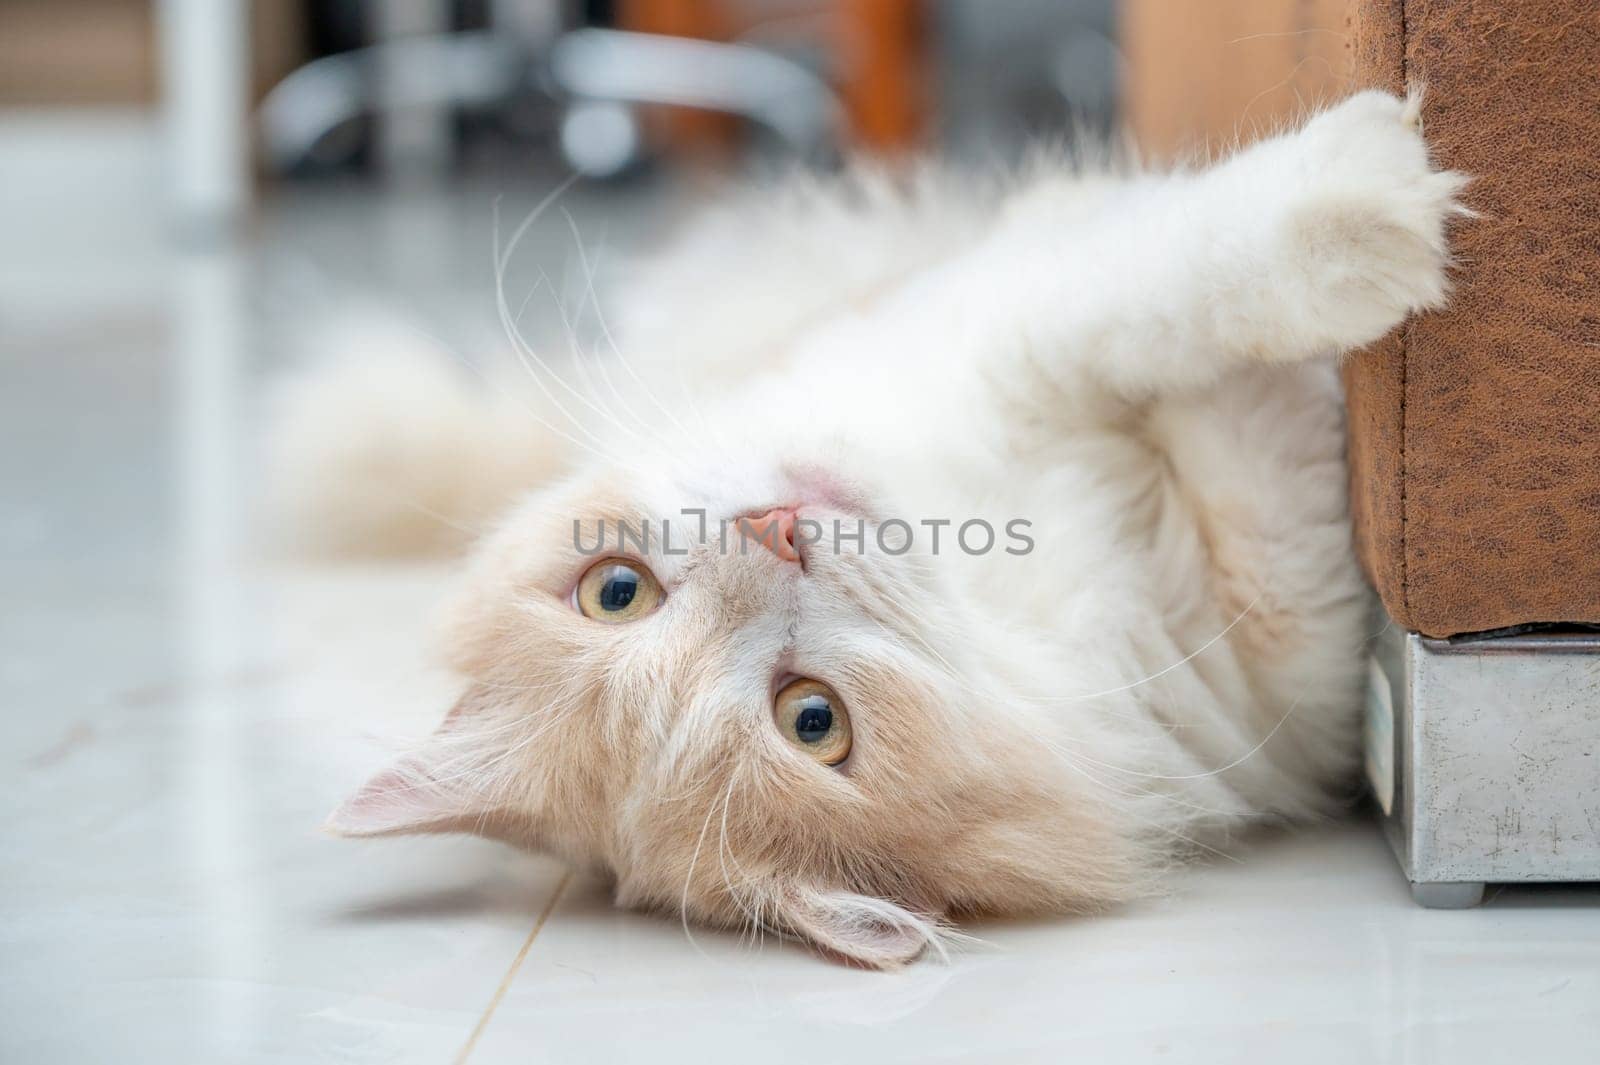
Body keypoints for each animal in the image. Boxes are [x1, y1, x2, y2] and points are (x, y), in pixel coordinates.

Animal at [275, 95, 1465, 965]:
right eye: (813, 722)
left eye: (614, 591)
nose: (778, 529)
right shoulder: (1281, 676)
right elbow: (1227, 399)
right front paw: (1376, 197)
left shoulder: (984, 327)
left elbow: (1146, 292)